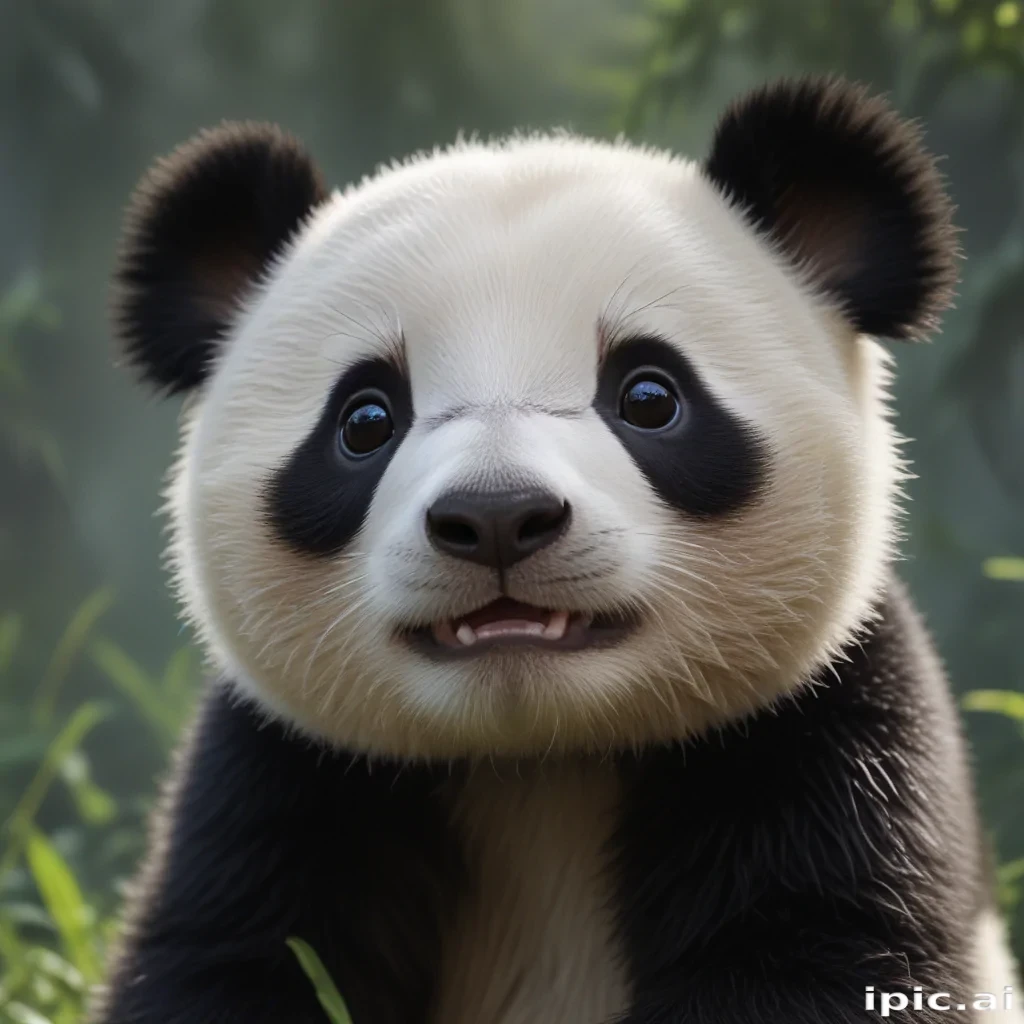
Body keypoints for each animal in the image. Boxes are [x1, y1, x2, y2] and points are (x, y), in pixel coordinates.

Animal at [91, 76, 1022, 1024]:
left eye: (649, 395)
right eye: (365, 419)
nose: (497, 515)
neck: (543, 756)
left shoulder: (830, 746)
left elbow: (819, 951)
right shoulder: (282, 779)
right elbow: (233, 956)